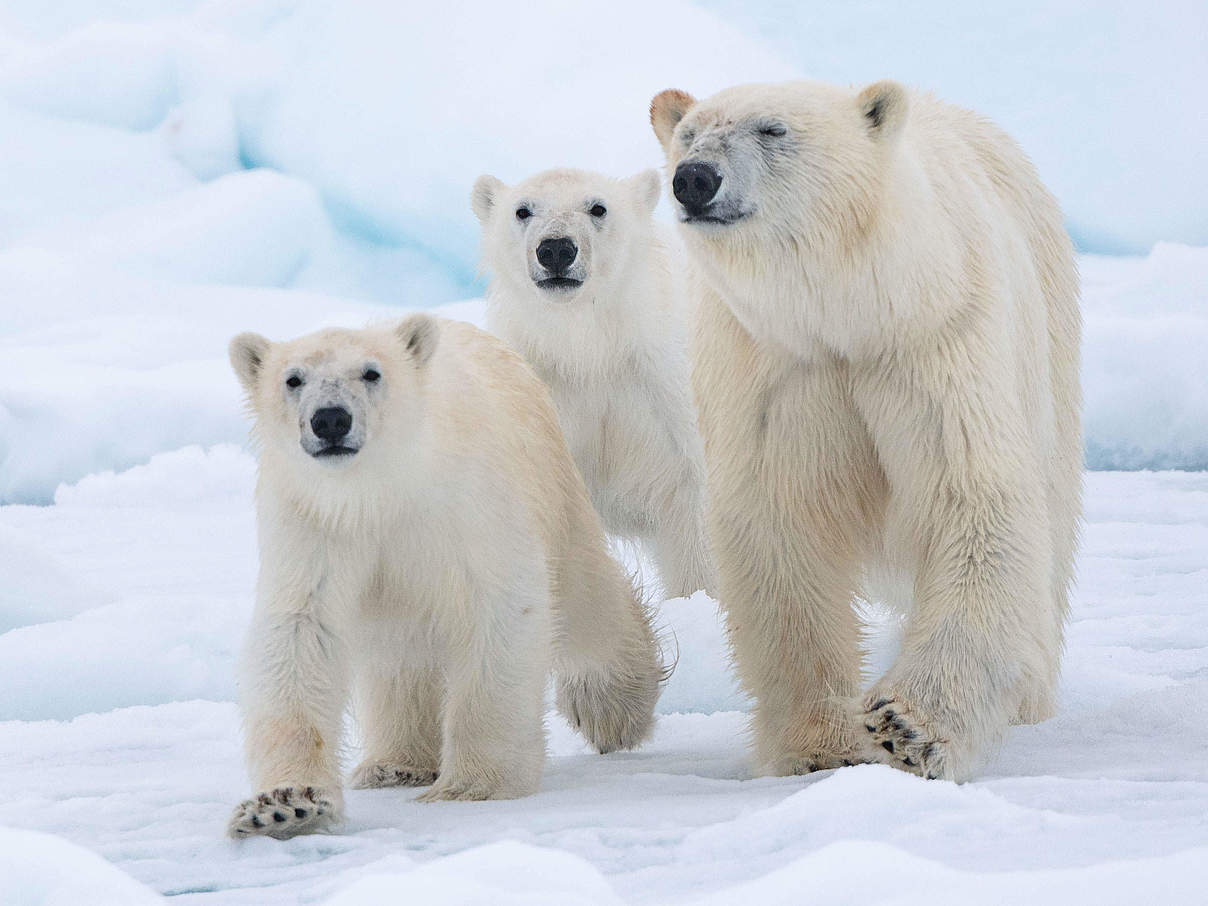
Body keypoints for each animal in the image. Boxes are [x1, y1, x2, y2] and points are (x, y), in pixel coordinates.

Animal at [652, 81, 1087, 782]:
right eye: (689, 133)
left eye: (772, 129)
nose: (694, 178)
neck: (851, 312)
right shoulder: (774, 372)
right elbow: (782, 529)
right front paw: (819, 744)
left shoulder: (936, 343)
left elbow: (973, 502)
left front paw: (907, 727)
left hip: (1048, 343)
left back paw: (1029, 700)